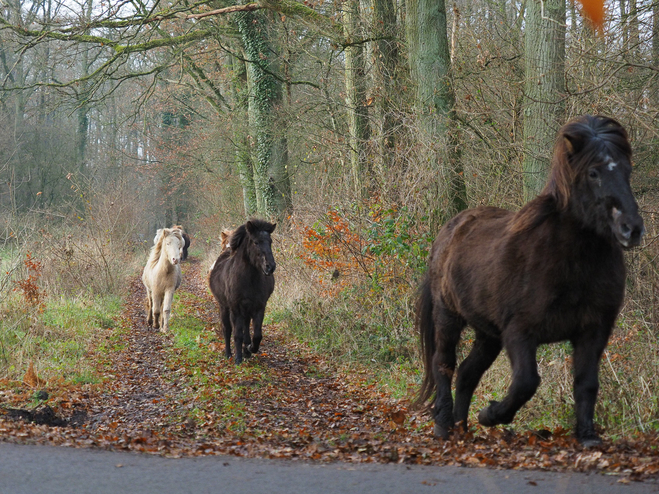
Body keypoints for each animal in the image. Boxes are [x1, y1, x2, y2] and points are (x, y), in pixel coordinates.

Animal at [209, 220, 276, 362]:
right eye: (256, 242)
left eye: (270, 241)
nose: (270, 267)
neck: (249, 279)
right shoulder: (235, 309)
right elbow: (237, 334)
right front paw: (238, 359)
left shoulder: (259, 308)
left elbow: (257, 335)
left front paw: (250, 348)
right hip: (224, 307)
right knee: (227, 329)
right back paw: (229, 353)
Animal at [418, 114, 644, 446]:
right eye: (593, 173)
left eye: (628, 171)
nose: (632, 229)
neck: (569, 262)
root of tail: (449, 230)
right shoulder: (520, 332)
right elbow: (526, 382)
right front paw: (491, 415)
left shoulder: (594, 330)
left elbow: (586, 382)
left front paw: (587, 436)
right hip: (449, 317)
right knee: (443, 365)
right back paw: (444, 426)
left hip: (488, 334)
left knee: (468, 373)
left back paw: (462, 427)